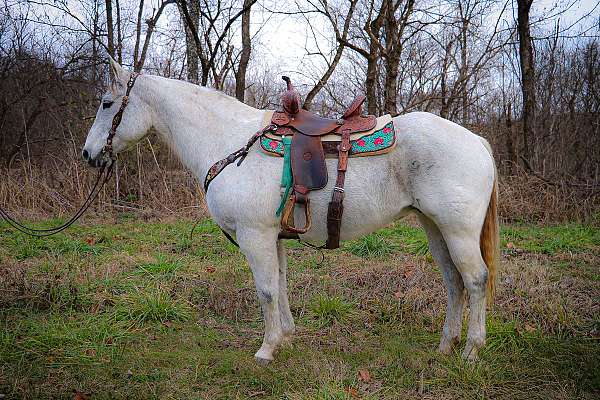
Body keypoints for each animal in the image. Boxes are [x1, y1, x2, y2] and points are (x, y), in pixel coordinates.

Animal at [83, 58, 496, 362]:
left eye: (106, 104)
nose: (89, 154)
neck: (228, 142)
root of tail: (476, 140)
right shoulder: (274, 237)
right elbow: (280, 286)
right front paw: (286, 338)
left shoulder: (255, 236)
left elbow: (265, 290)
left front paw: (266, 349)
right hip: (434, 228)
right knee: (453, 282)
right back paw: (445, 346)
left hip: (457, 231)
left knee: (476, 280)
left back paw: (471, 351)